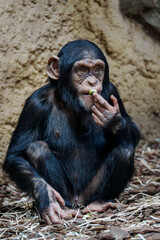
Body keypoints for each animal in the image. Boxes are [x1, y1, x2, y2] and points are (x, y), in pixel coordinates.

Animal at [3, 39, 140, 225]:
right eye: (81, 70)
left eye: (97, 69)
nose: (92, 82)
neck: (72, 104)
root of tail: (78, 200)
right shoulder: (34, 105)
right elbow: (15, 155)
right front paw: (47, 196)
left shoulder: (112, 92)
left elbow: (133, 131)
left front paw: (113, 120)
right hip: (68, 195)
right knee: (37, 149)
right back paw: (65, 208)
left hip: (89, 192)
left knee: (125, 149)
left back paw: (99, 203)